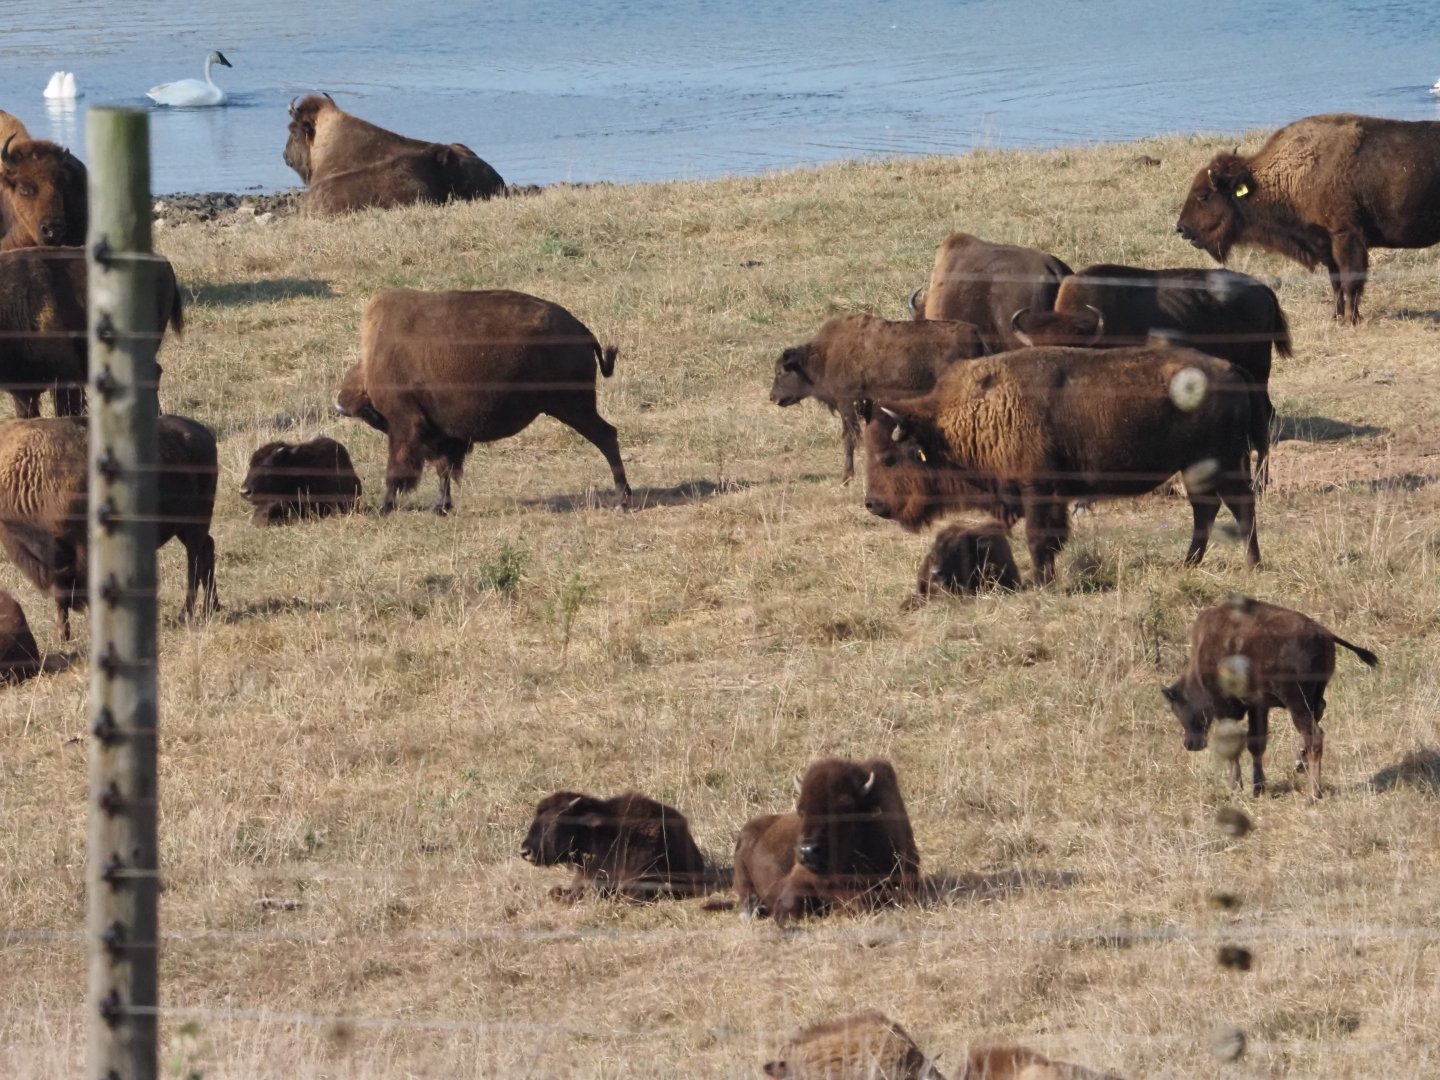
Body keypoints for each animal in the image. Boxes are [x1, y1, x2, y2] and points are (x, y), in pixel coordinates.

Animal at [335, 288, 630, 514]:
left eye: (373, 417)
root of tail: (583, 331)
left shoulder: (405, 426)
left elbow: (398, 469)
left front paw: (385, 507)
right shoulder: (441, 435)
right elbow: (444, 469)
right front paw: (441, 507)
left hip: (574, 407)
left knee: (606, 436)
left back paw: (622, 498)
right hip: (573, 408)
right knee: (607, 435)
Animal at [770, 313, 987, 482]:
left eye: (781, 371)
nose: (772, 397)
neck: (825, 354)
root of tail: (976, 335)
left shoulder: (847, 404)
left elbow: (849, 438)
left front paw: (846, 477)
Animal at [860, 346, 1261, 583]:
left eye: (889, 458)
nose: (873, 503)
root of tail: (1230, 369)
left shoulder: (1039, 490)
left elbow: (1040, 538)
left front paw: (1041, 581)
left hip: (1223, 463)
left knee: (1240, 508)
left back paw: (1251, 564)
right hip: (1197, 468)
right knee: (1205, 511)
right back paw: (1189, 564)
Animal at [1164, 596, 1378, 799]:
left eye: (1179, 708)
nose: (1190, 744)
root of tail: (1324, 634)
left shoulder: (1225, 706)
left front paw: (1235, 788)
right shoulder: (1258, 707)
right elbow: (1256, 743)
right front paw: (1258, 787)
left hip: (1297, 703)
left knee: (1314, 736)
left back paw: (1312, 795)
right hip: (1314, 698)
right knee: (1315, 723)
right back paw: (1300, 765)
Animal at [1176, 113, 1440, 323]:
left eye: (1203, 195)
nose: (1181, 228)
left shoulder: (1346, 237)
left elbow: (1350, 281)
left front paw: (1350, 320)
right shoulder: (1325, 244)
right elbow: (1336, 282)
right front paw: (1336, 317)